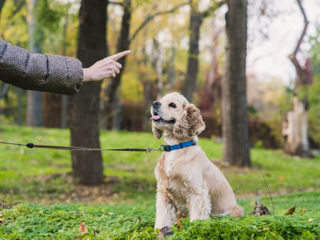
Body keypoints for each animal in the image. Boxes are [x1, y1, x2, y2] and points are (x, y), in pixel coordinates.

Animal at [150, 91, 242, 231]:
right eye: (161, 99)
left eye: (172, 105)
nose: (155, 103)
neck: (175, 147)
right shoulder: (163, 193)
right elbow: (162, 218)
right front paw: (161, 231)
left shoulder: (198, 193)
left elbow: (198, 220)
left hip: (233, 211)